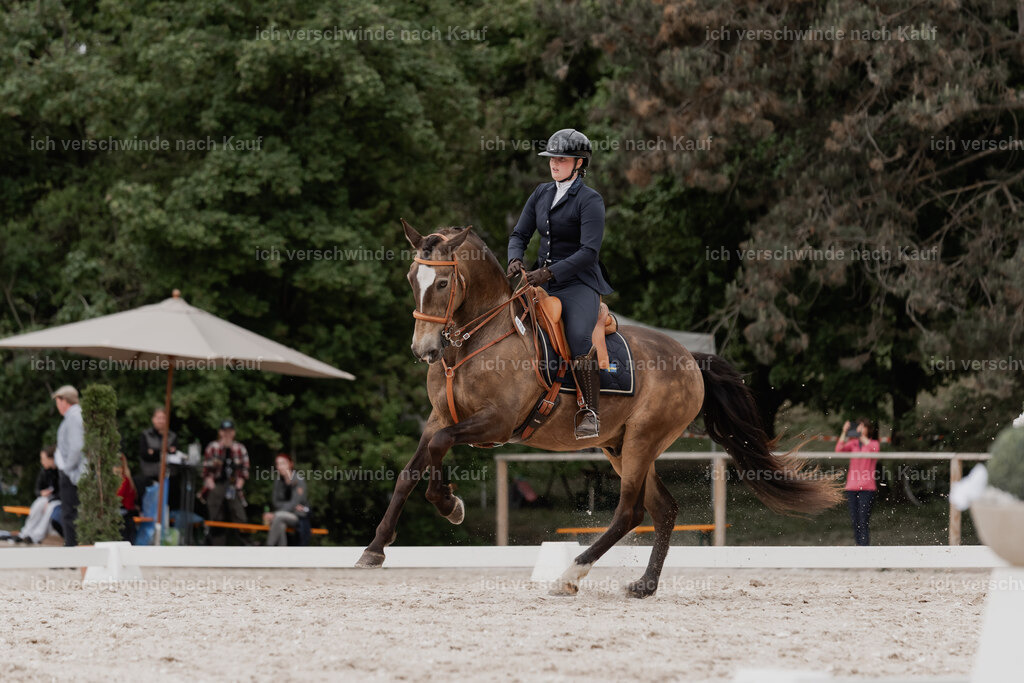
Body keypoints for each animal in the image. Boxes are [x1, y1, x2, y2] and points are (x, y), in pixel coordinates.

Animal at [356, 221, 842, 598]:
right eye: (410, 278)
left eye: (441, 283)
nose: (423, 351)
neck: (476, 339)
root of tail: (690, 358)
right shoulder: (441, 417)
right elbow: (412, 469)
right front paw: (376, 548)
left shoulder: (496, 422)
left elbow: (439, 447)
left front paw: (448, 504)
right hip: (620, 446)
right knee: (663, 509)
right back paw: (643, 585)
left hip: (643, 440)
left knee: (630, 512)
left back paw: (570, 574)